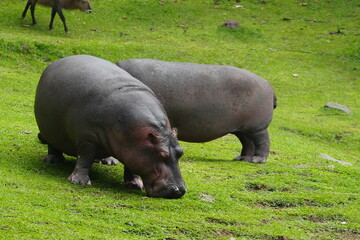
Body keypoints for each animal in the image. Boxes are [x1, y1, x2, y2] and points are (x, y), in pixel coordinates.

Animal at [34, 54, 186, 199]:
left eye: (180, 152)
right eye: (162, 154)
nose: (179, 190)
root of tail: (57, 61)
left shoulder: (133, 149)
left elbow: (131, 166)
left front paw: (135, 184)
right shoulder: (87, 138)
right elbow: (85, 157)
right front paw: (79, 182)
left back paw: (109, 161)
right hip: (49, 129)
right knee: (53, 145)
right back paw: (54, 161)